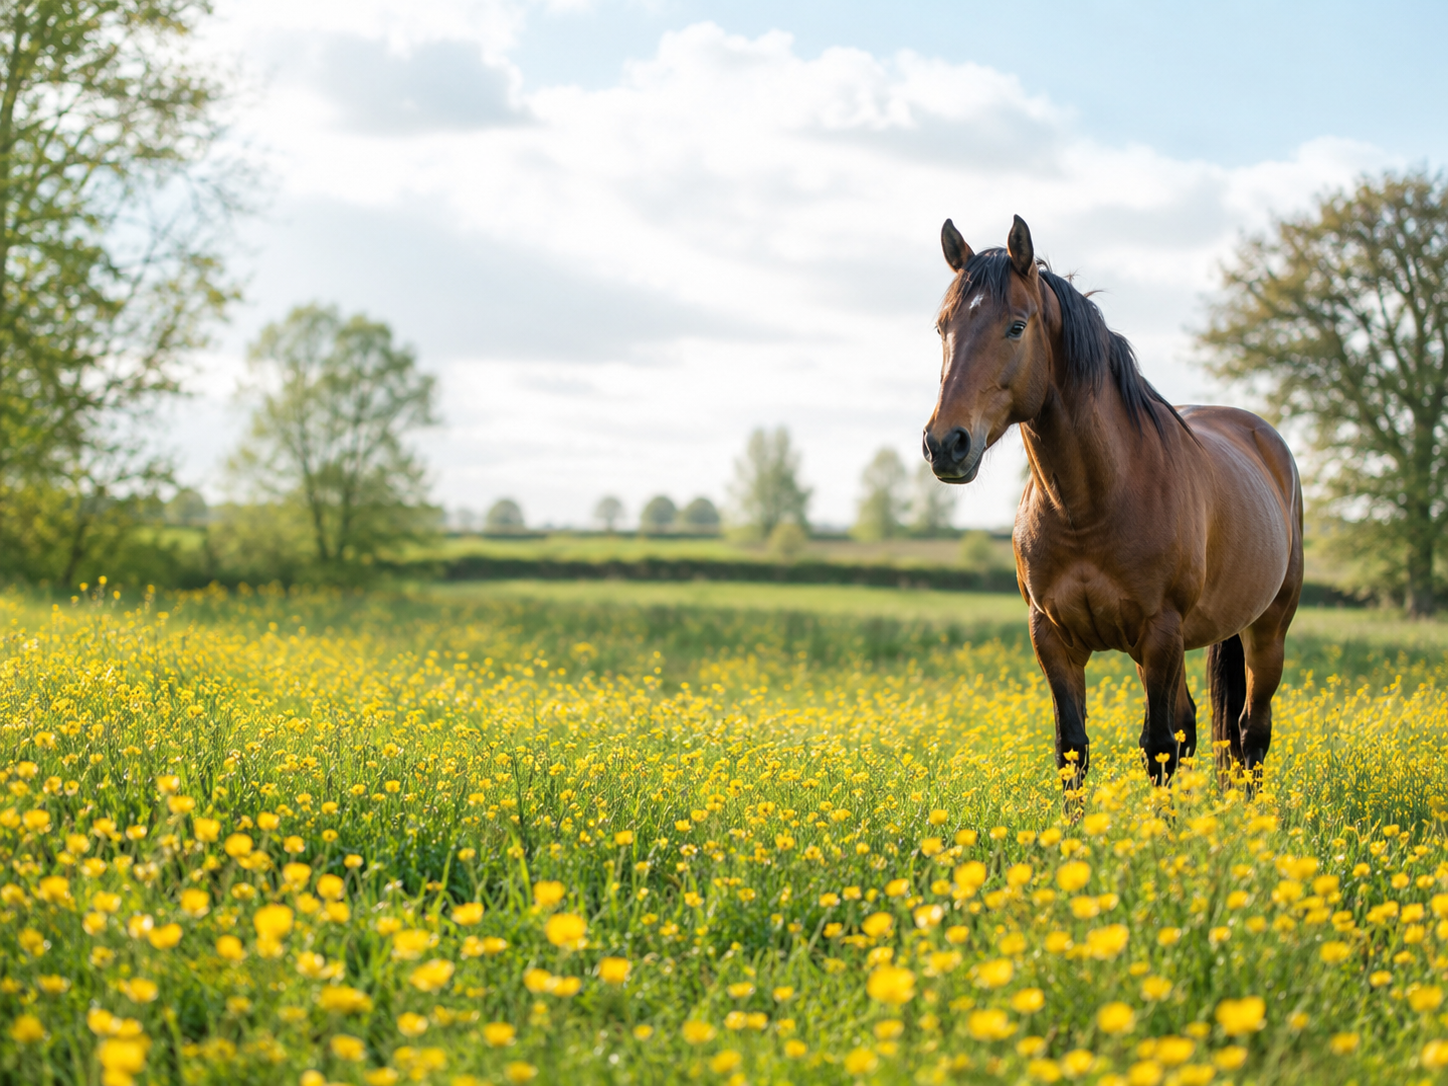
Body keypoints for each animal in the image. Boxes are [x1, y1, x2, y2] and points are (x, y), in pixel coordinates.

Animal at [921, 215, 1303, 793]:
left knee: (1251, 734)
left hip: (1267, 630)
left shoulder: (1159, 633)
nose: (946, 443)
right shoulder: (1052, 638)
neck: (1089, 505)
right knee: (1196, 726)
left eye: (1016, 327)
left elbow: (1158, 748)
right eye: (942, 328)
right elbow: (1073, 749)